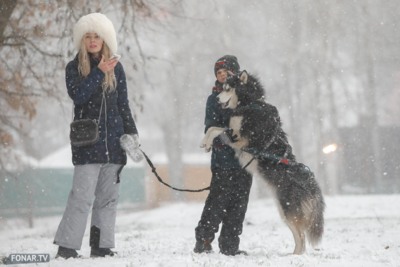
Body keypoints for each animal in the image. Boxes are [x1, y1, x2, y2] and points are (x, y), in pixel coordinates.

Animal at [202, 71, 326, 255]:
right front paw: (205, 142)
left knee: (302, 236)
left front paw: (207, 142)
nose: (216, 99)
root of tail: (311, 182)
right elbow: (213, 127)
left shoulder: (240, 139)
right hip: (284, 211)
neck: (250, 103)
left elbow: (216, 129)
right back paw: (293, 255)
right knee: (300, 237)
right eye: (222, 87)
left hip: (288, 209)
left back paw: (295, 256)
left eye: (227, 88)